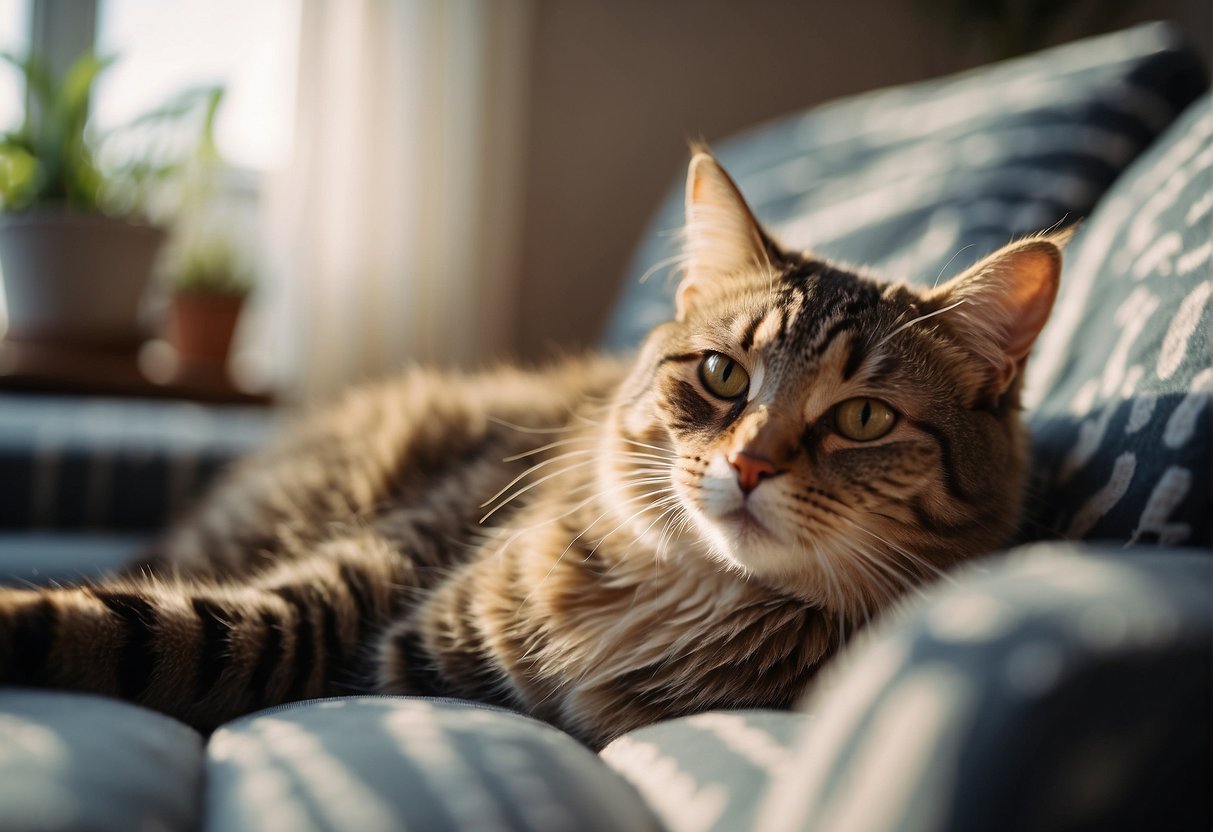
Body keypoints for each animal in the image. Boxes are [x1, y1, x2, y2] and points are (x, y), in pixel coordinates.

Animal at [0, 151, 1067, 751]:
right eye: (722, 375)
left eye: (862, 421)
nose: (751, 464)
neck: (676, 594)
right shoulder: (382, 577)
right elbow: (170, 623)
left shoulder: (380, 653)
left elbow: (170, 635)